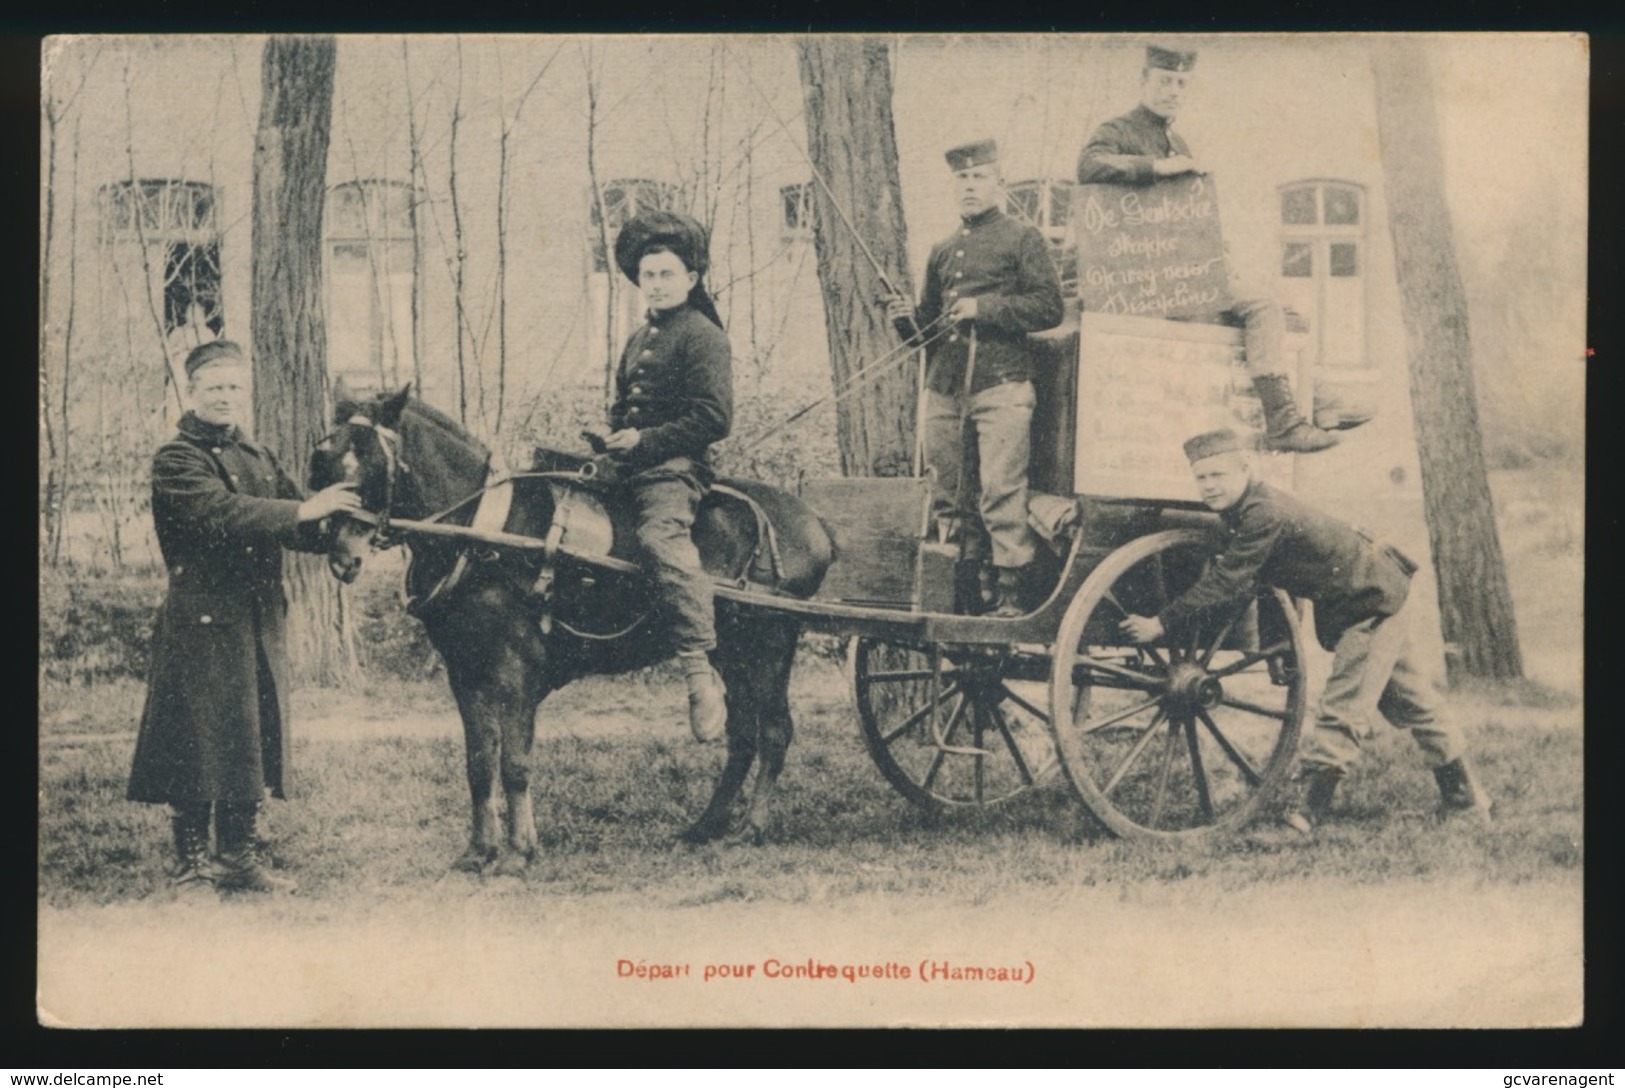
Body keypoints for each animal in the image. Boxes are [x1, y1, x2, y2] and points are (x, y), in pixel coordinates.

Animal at [307, 388, 838, 876]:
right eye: (326, 459)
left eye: (373, 460)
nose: (343, 556)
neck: (482, 533)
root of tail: (813, 523)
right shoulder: (465, 672)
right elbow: (479, 763)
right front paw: (479, 850)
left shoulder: (516, 669)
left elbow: (515, 763)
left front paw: (520, 851)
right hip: (732, 651)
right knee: (743, 733)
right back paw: (707, 825)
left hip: (770, 644)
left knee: (774, 731)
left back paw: (751, 827)